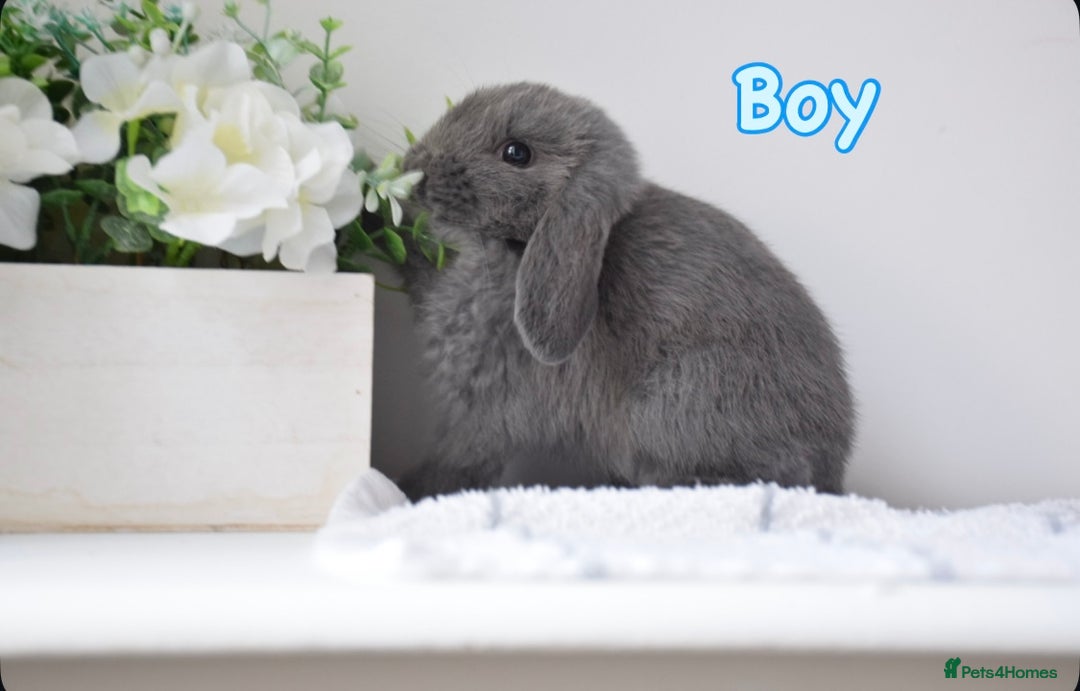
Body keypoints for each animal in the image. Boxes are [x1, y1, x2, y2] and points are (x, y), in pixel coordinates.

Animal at [395, 82, 854, 501]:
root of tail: (833, 472)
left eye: (517, 153)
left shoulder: (486, 405)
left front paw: (414, 490)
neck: (514, 250)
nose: (415, 167)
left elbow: (459, 460)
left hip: (679, 396)